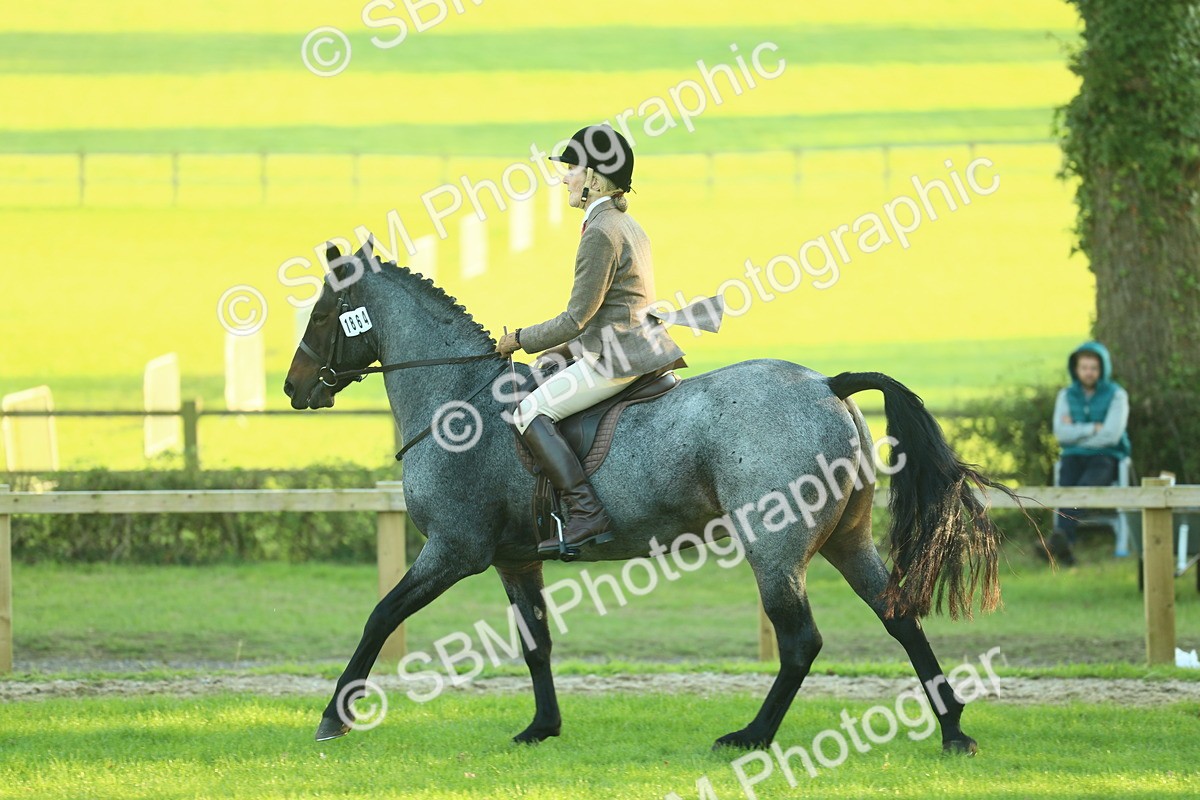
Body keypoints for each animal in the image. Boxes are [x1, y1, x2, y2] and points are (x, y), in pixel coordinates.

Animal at [284, 239, 1022, 754]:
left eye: (322, 312)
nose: (294, 389)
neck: (458, 402)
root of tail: (826, 384)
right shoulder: (514, 559)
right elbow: (536, 644)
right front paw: (542, 727)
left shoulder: (452, 551)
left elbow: (380, 617)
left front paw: (333, 717)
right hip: (848, 538)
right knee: (899, 618)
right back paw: (953, 731)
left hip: (773, 545)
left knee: (800, 641)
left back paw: (751, 737)